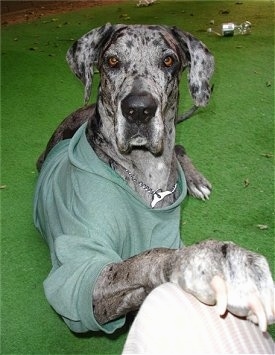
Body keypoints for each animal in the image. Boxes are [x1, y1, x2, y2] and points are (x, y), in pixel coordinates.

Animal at [34, 24, 274, 334]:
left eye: (168, 60)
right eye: (112, 61)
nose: (139, 109)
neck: (147, 174)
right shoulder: (84, 280)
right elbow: (148, 257)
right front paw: (209, 262)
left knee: (179, 148)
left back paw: (195, 180)